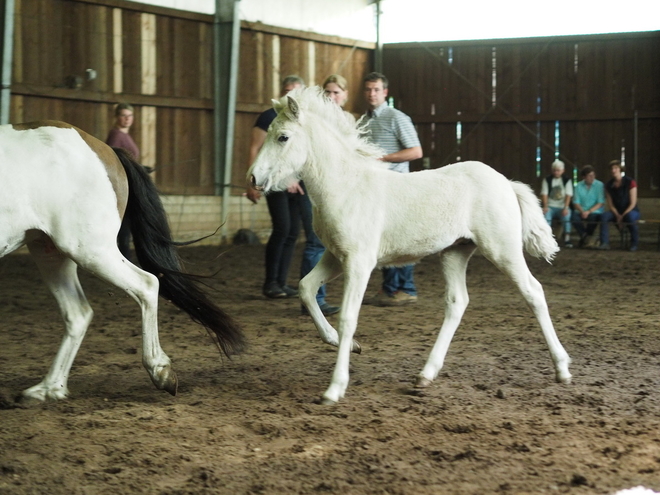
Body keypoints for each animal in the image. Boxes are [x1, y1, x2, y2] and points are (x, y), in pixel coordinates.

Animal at [0, 122, 245, 402]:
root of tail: (104, 148)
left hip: (90, 250)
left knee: (147, 284)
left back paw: (160, 371)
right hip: (51, 251)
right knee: (78, 313)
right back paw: (49, 388)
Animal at [249, 88, 572, 406]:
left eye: (283, 137)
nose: (253, 177)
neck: (347, 187)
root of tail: (506, 181)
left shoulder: (359, 261)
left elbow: (348, 317)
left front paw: (334, 388)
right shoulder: (336, 256)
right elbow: (306, 287)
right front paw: (346, 344)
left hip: (502, 249)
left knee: (533, 292)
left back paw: (562, 368)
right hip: (455, 251)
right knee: (457, 302)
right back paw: (425, 375)